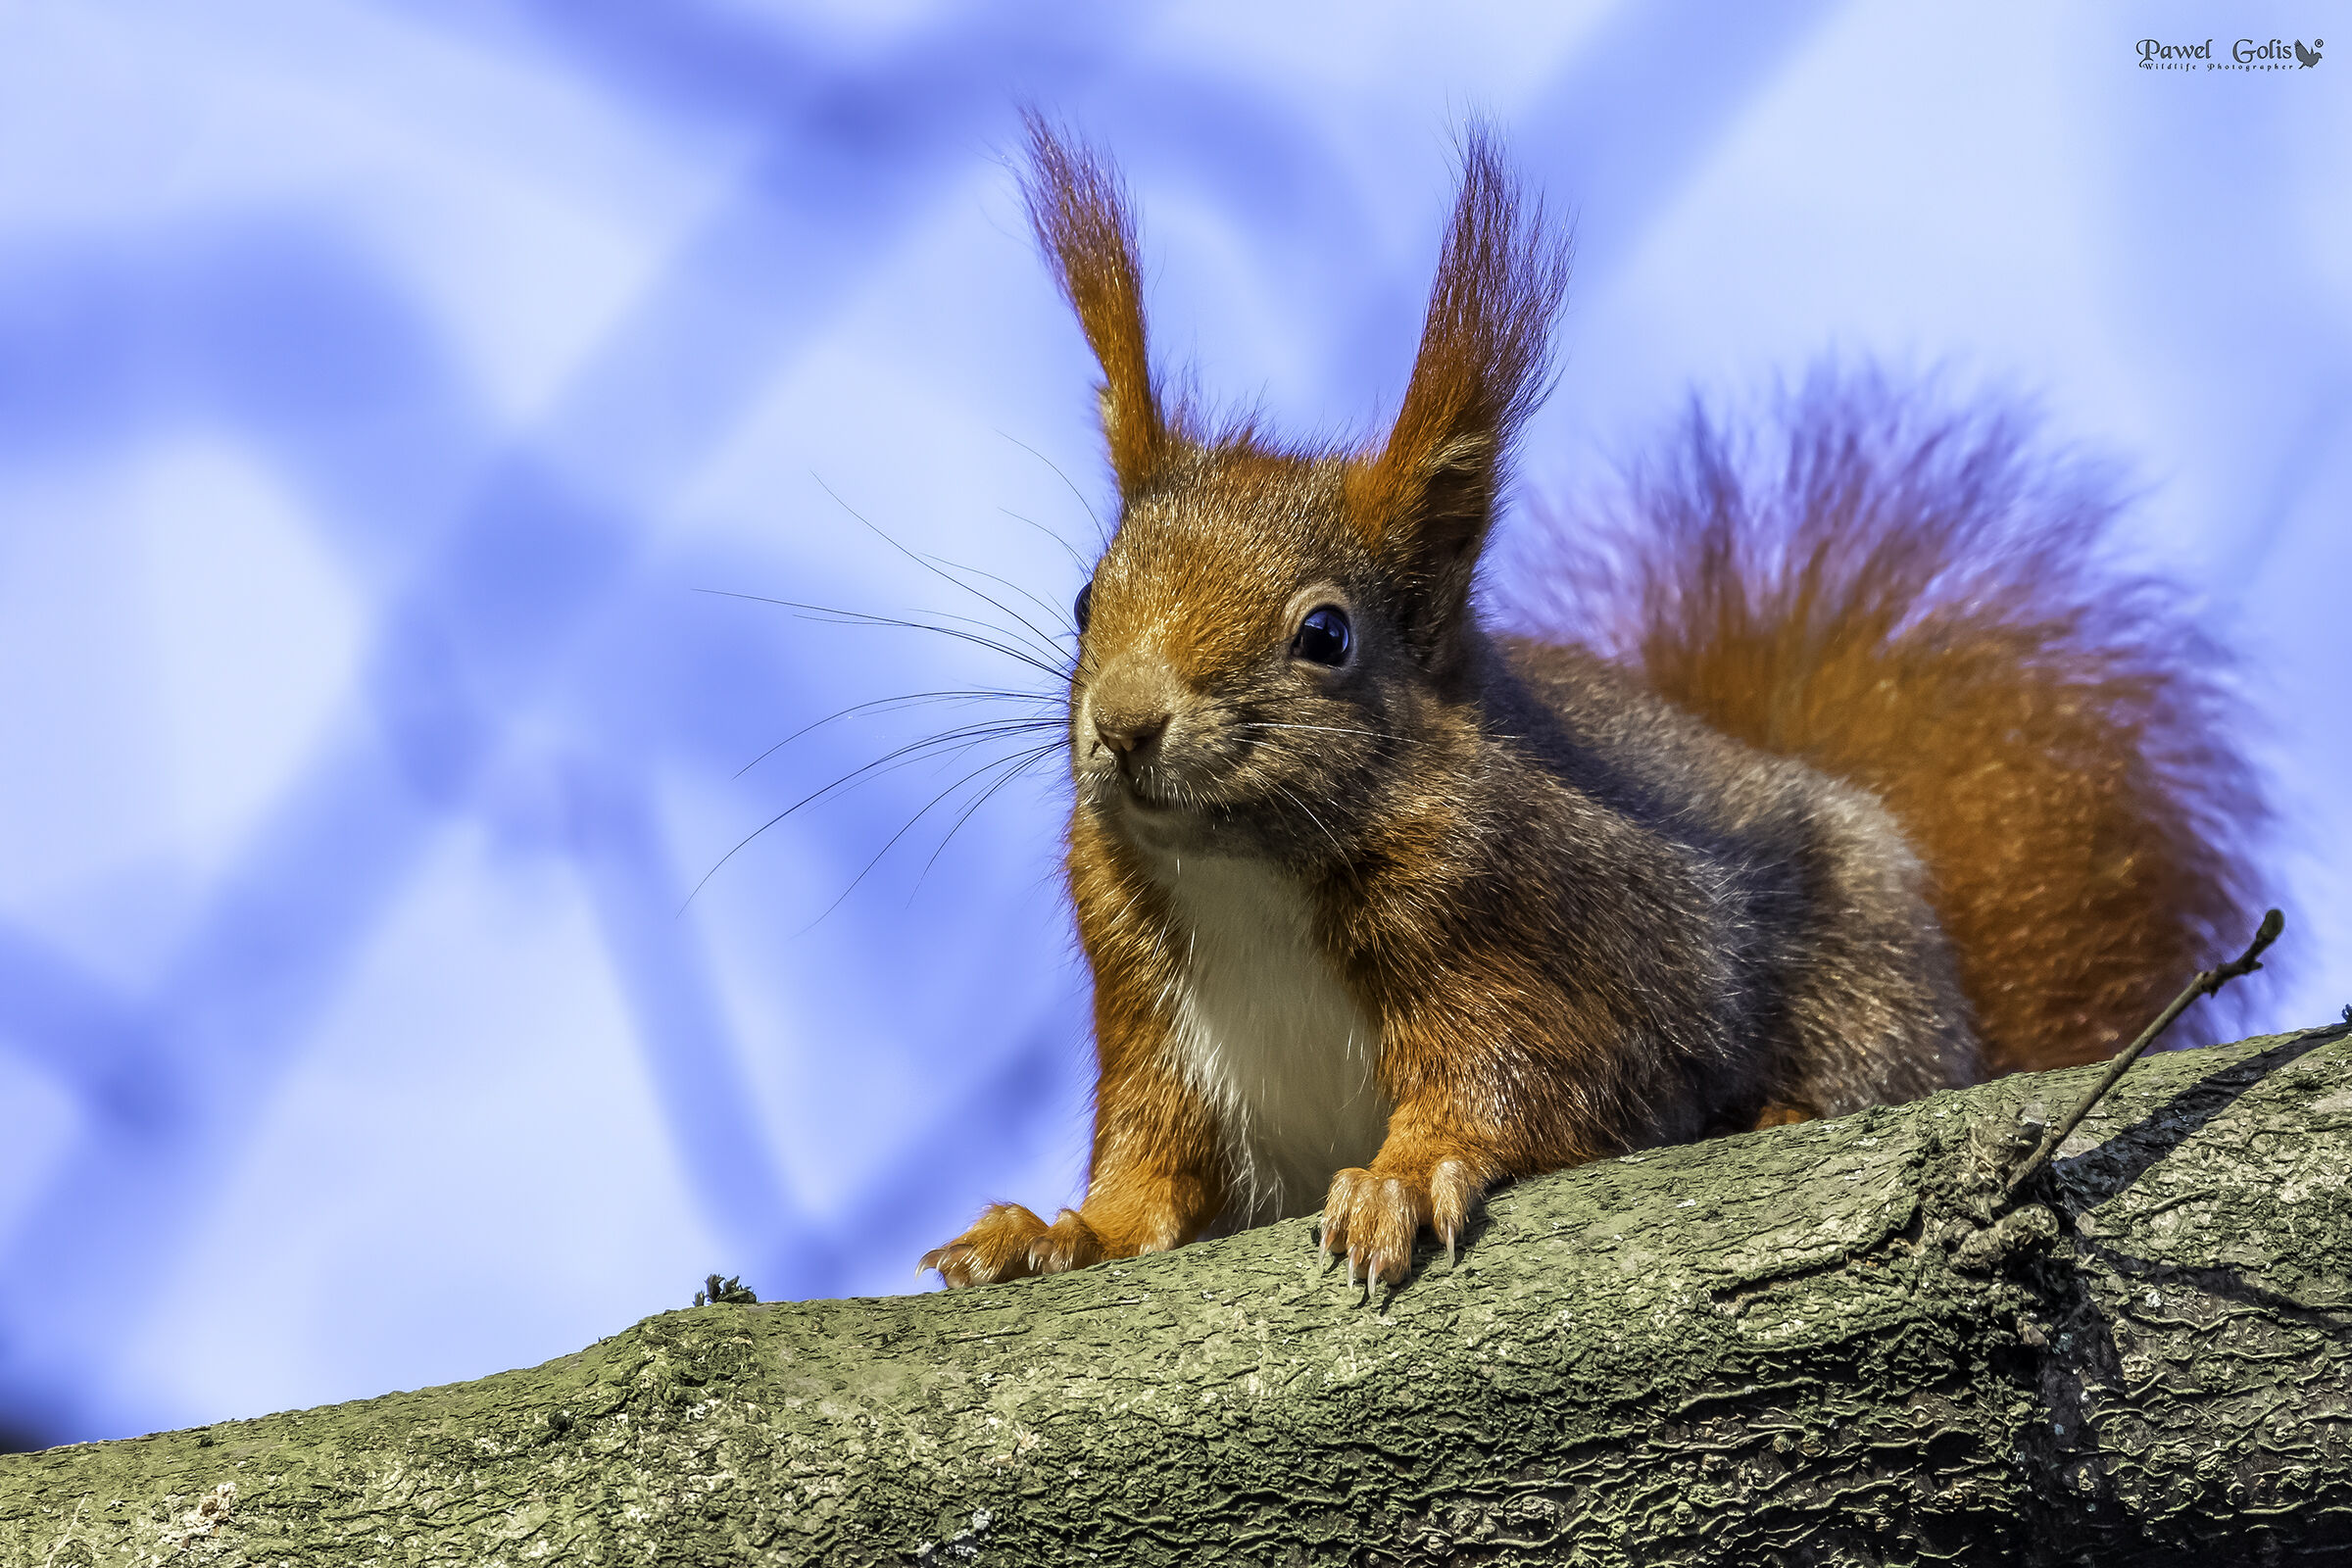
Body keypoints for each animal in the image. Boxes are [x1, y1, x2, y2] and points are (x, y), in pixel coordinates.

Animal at [918, 119, 2265, 1292]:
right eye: (1087, 598)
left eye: (1326, 635)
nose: (1126, 723)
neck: (1245, 875)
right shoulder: (1150, 1011)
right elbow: (1150, 1176)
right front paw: (1054, 1232)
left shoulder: (1553, 936)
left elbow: (1529, 1078)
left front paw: (1403, 1176)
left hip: (1870, 968)